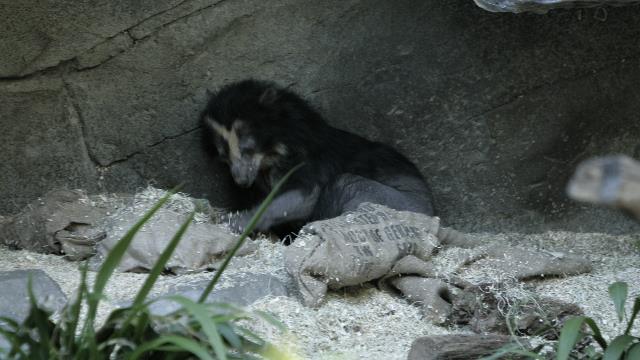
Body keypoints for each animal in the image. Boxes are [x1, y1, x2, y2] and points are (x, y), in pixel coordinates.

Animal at [200, 80, 436, 235]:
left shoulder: (308, 157)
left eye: (248, 148)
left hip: (397, 203)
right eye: (224, 156)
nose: (241, 180)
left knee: (347, 185)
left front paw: (235, 221)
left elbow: (302, 196)